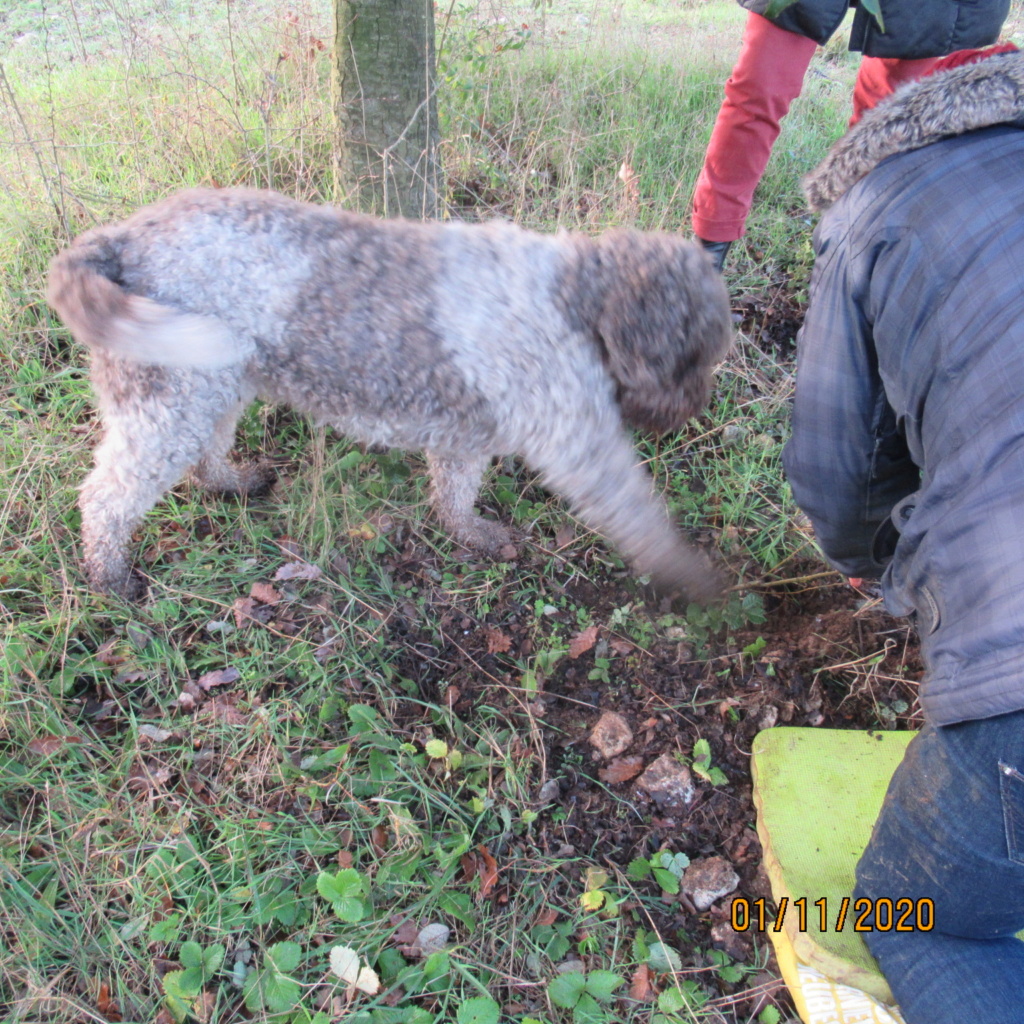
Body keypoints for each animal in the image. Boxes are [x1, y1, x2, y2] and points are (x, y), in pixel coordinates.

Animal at [48, 186, 733, 598]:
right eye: (690, 359)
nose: (691, 413)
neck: (571, 296)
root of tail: (119, 239)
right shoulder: (579, 443)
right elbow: (637, 513)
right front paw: (701, 584)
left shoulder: (467, 434)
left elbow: (455, 494)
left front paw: (471, 536)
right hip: (167, 399)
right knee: (105, 499)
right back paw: (110, 578)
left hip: (215, 380)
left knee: (204, 453)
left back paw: (233, 482)